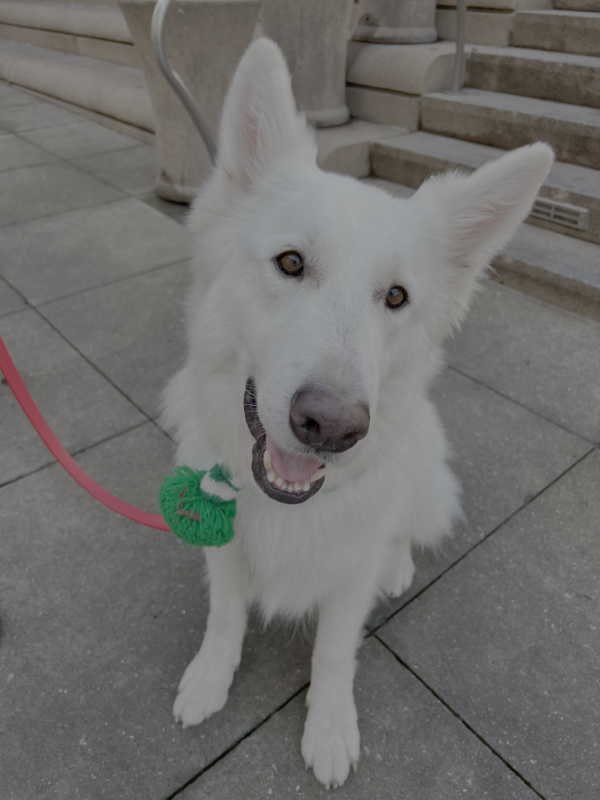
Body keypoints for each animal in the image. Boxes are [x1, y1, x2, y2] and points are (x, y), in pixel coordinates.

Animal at [163, 37, 552, 788]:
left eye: (396, 297)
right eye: (290, 262)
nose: (333, 427)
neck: (289, 504)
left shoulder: (347, 579)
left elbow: (334, 653)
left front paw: (330, 727)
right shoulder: (226, 547)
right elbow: (225, 615)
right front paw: (210, 677)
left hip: (424, 472)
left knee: (404, 528)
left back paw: (396, 566)